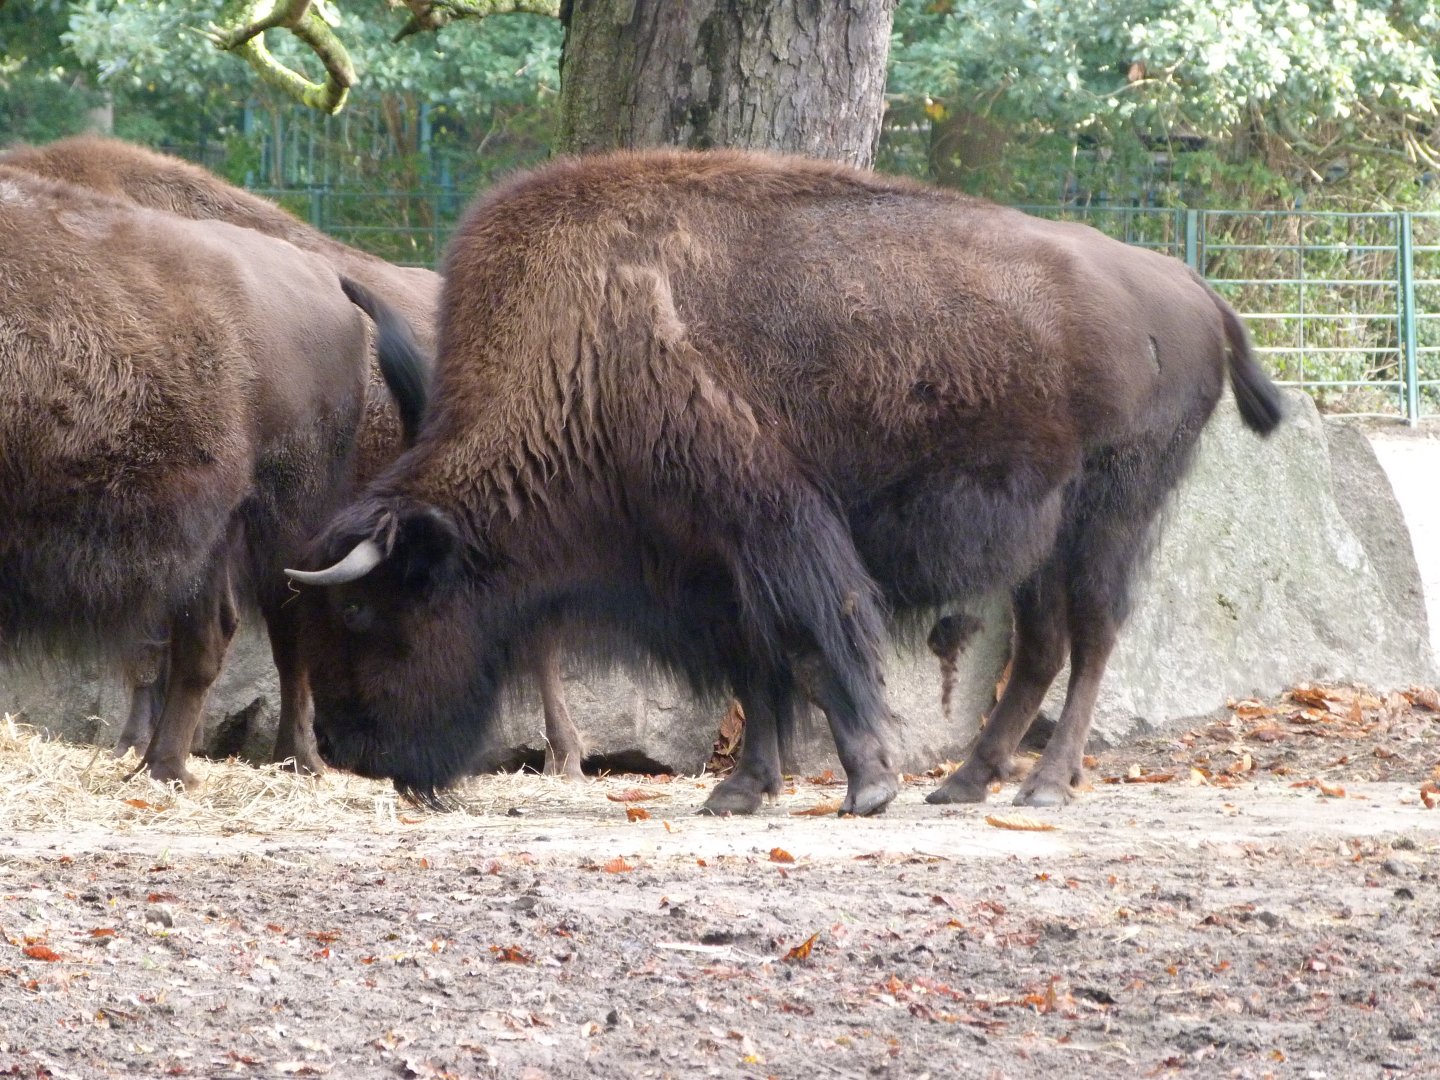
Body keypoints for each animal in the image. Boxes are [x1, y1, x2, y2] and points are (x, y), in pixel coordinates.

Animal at [287, 149, 1283, 816]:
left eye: (363, 608)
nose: (354, 750)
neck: (585, 348)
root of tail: (1192, 287)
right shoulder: (707, 566)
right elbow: (753, 666)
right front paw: (740, 790)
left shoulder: (774, 531)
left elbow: (812, 646)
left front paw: (869, 784)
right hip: (1043, 539)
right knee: (1042, 647)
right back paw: (968, 783)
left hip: (1110, 514)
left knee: (1095, 635)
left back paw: (1041, 786)